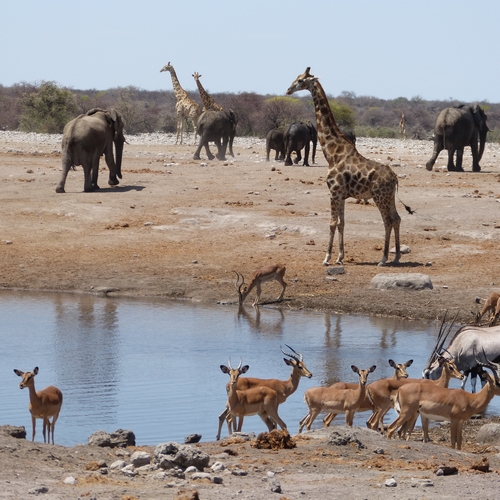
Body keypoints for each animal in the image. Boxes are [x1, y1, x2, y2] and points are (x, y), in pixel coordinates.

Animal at [286, 69, 402, 270]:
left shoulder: (334, 191)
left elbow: (332, 223)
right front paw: (340, 257)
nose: (288, 90)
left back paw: (383, 258)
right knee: (396, 218)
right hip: (389, 197)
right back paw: (396, 257)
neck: (332, 152)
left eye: (300, 80)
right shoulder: (341, 195)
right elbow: (342, 223)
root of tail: (394, 177)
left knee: (387, 221)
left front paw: (326, 258)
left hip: (379, 196)